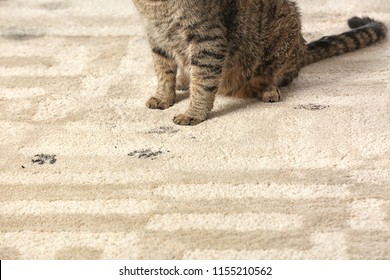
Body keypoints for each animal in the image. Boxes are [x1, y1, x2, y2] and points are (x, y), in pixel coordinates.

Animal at [133, 0, 386, 124]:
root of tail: (302, 49)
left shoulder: (208, 41)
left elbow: (203, 84)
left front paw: (194, 113)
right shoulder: (156, 38)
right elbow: (163, 74)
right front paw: (165, 97)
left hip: (284, 33)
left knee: (279, 76)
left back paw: (267, 89)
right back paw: (184, 79)